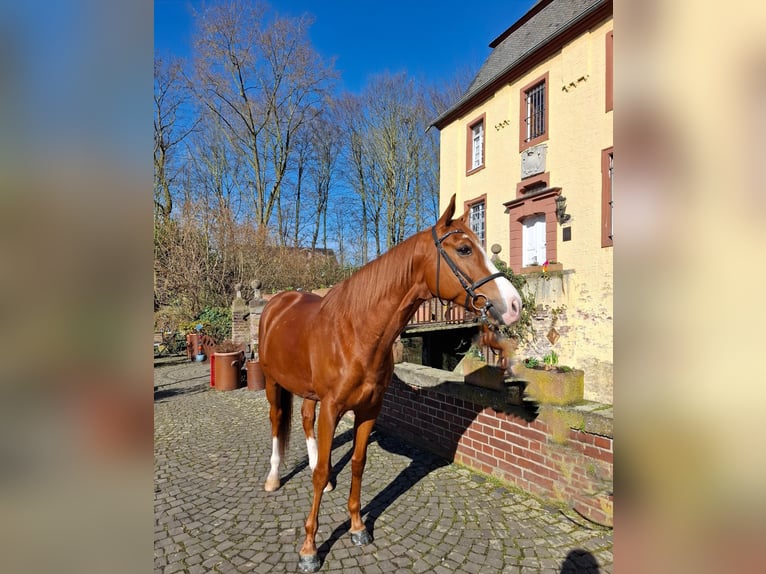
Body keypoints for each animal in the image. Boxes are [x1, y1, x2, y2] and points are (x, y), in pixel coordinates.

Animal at [258, 196, 520, 572]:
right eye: (464, 248)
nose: (514, 304)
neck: (356, 331)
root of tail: (277, 302)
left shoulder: (369, 409)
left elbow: (357, 463)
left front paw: (356, 527)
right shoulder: (333, 408)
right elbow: (320, 472)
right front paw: (309, 548)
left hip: (308, 392)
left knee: (306, 420)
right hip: (272, 383)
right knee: (277, 421)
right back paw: (274, 478)